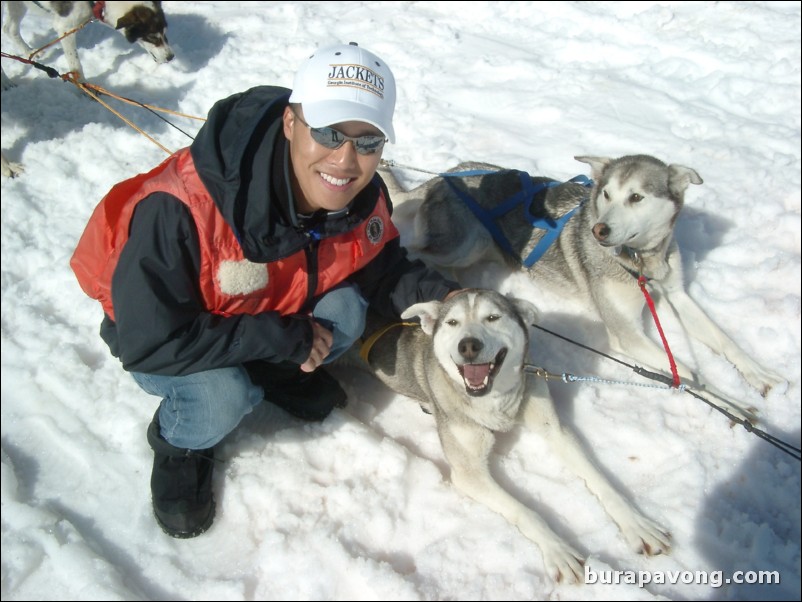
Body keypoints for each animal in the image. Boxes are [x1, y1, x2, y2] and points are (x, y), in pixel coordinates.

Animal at [3, 0, 173, 81]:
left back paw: (28, 52)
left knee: (9, 29)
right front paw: (84, 87)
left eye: (165, 33)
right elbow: (76, 65)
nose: (171, 57)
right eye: (152, 37)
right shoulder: (65, 28)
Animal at [360, 290, 668, 580]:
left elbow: (601, 481)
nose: (468, 345)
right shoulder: (469, 472)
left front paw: (637, 524)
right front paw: (558, 550)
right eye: (452, 322)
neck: (496, 403)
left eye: (492, 317)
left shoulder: (556, 431)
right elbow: (526, 511)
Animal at [382, 155, 780, 418]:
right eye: (606, 194)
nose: (599, 229)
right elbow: (690, 374)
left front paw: (760, 376)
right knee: (417, 252)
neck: (641, 263)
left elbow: (723, 341)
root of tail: (446, 175)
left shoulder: (676, 293)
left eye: (636, 197)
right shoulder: (627, 335)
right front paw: (734, 407)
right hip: (468, 243)